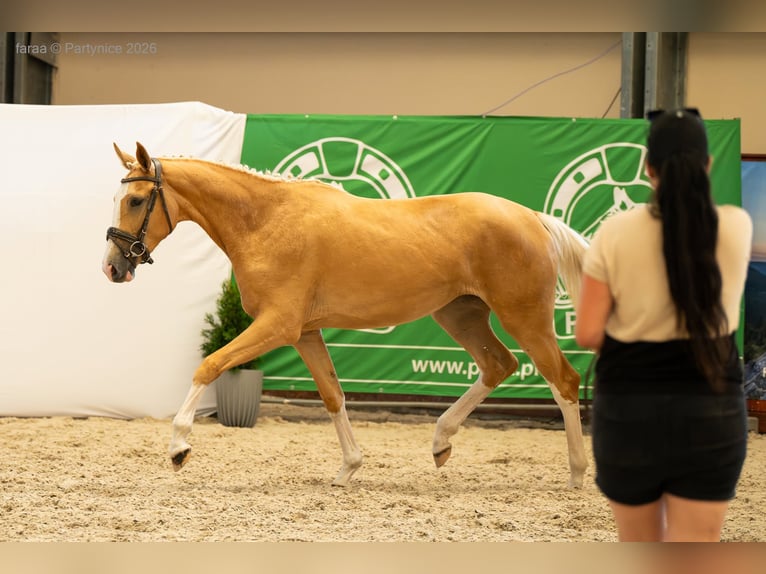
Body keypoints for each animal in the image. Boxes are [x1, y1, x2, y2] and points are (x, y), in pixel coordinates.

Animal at [102, 142, 590, 488]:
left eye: (137, 200)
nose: (113, 267)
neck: (265, 220)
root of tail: (533, 217)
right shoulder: (305, 333)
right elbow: (333, 395)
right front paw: (350, 468)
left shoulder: (278, 326)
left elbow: (209, 364)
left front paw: (178, 447)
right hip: (460, 315)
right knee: (498, 365)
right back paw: (440, 442)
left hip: (523, 317)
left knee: (563, 380)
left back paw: (577, 474)